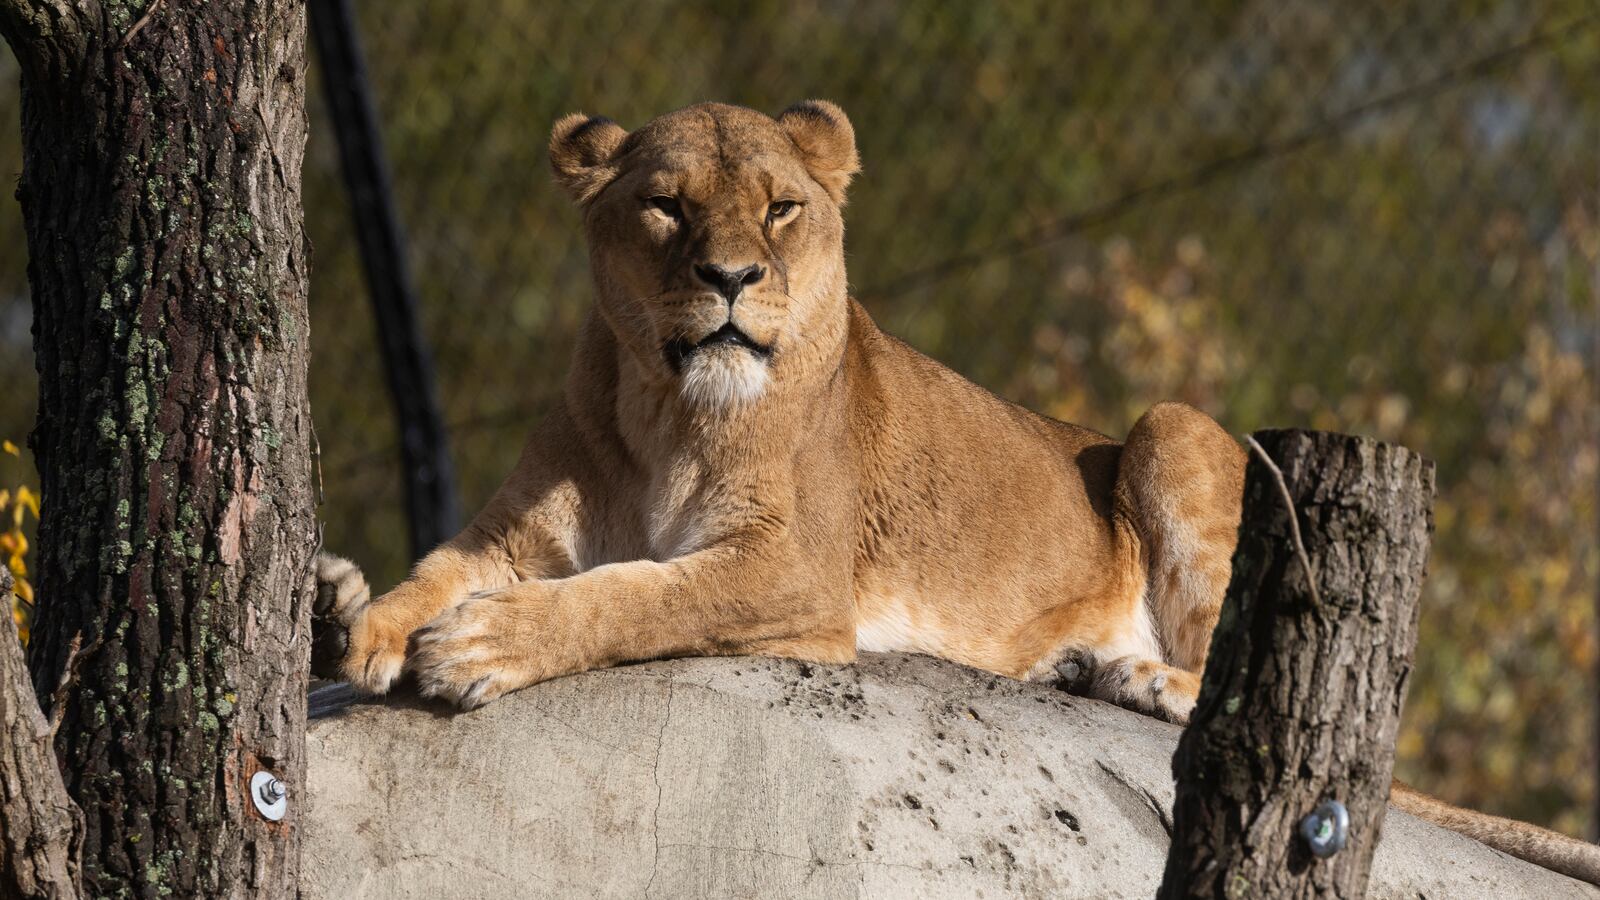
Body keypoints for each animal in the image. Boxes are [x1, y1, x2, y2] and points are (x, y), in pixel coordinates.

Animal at [313, 100, 1600, 885]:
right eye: (665, 205)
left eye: (780, 208)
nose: (731, 277)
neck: (665, 407)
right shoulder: (512, 533)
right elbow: (440, 565)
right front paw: (353, 621)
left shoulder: (788, 574)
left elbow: (631, 596)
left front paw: (476, 649)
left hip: (1170, 425)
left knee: (1218, 657)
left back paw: (1148, 680)